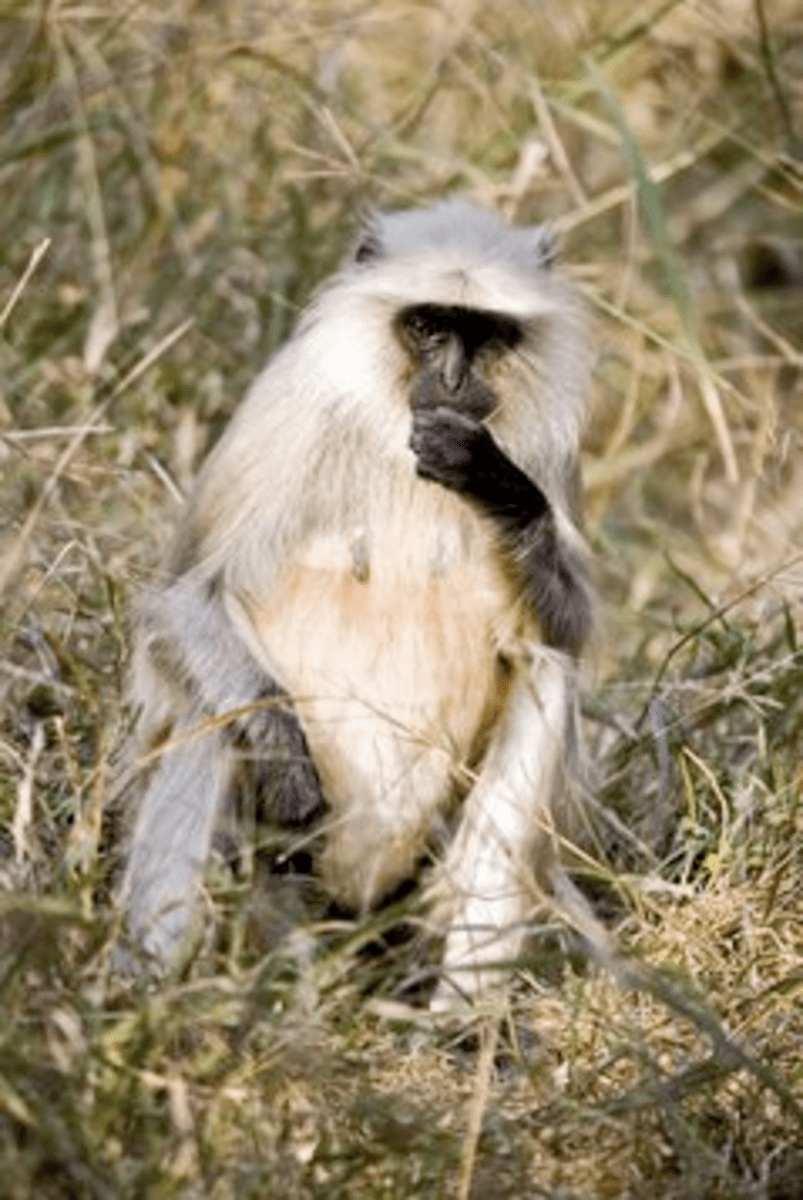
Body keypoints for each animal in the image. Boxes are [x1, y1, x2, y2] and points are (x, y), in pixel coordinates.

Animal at [118, 199, 595, 1009]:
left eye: (484, 333)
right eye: (428, 325)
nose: (452, 376)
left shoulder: (545, 445)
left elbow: (570, 630)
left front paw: (493, 482)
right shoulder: (291, 408)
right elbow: (181, 602)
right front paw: (283, 757)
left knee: (545, 670)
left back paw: (460, 1025)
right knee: (214, 719)